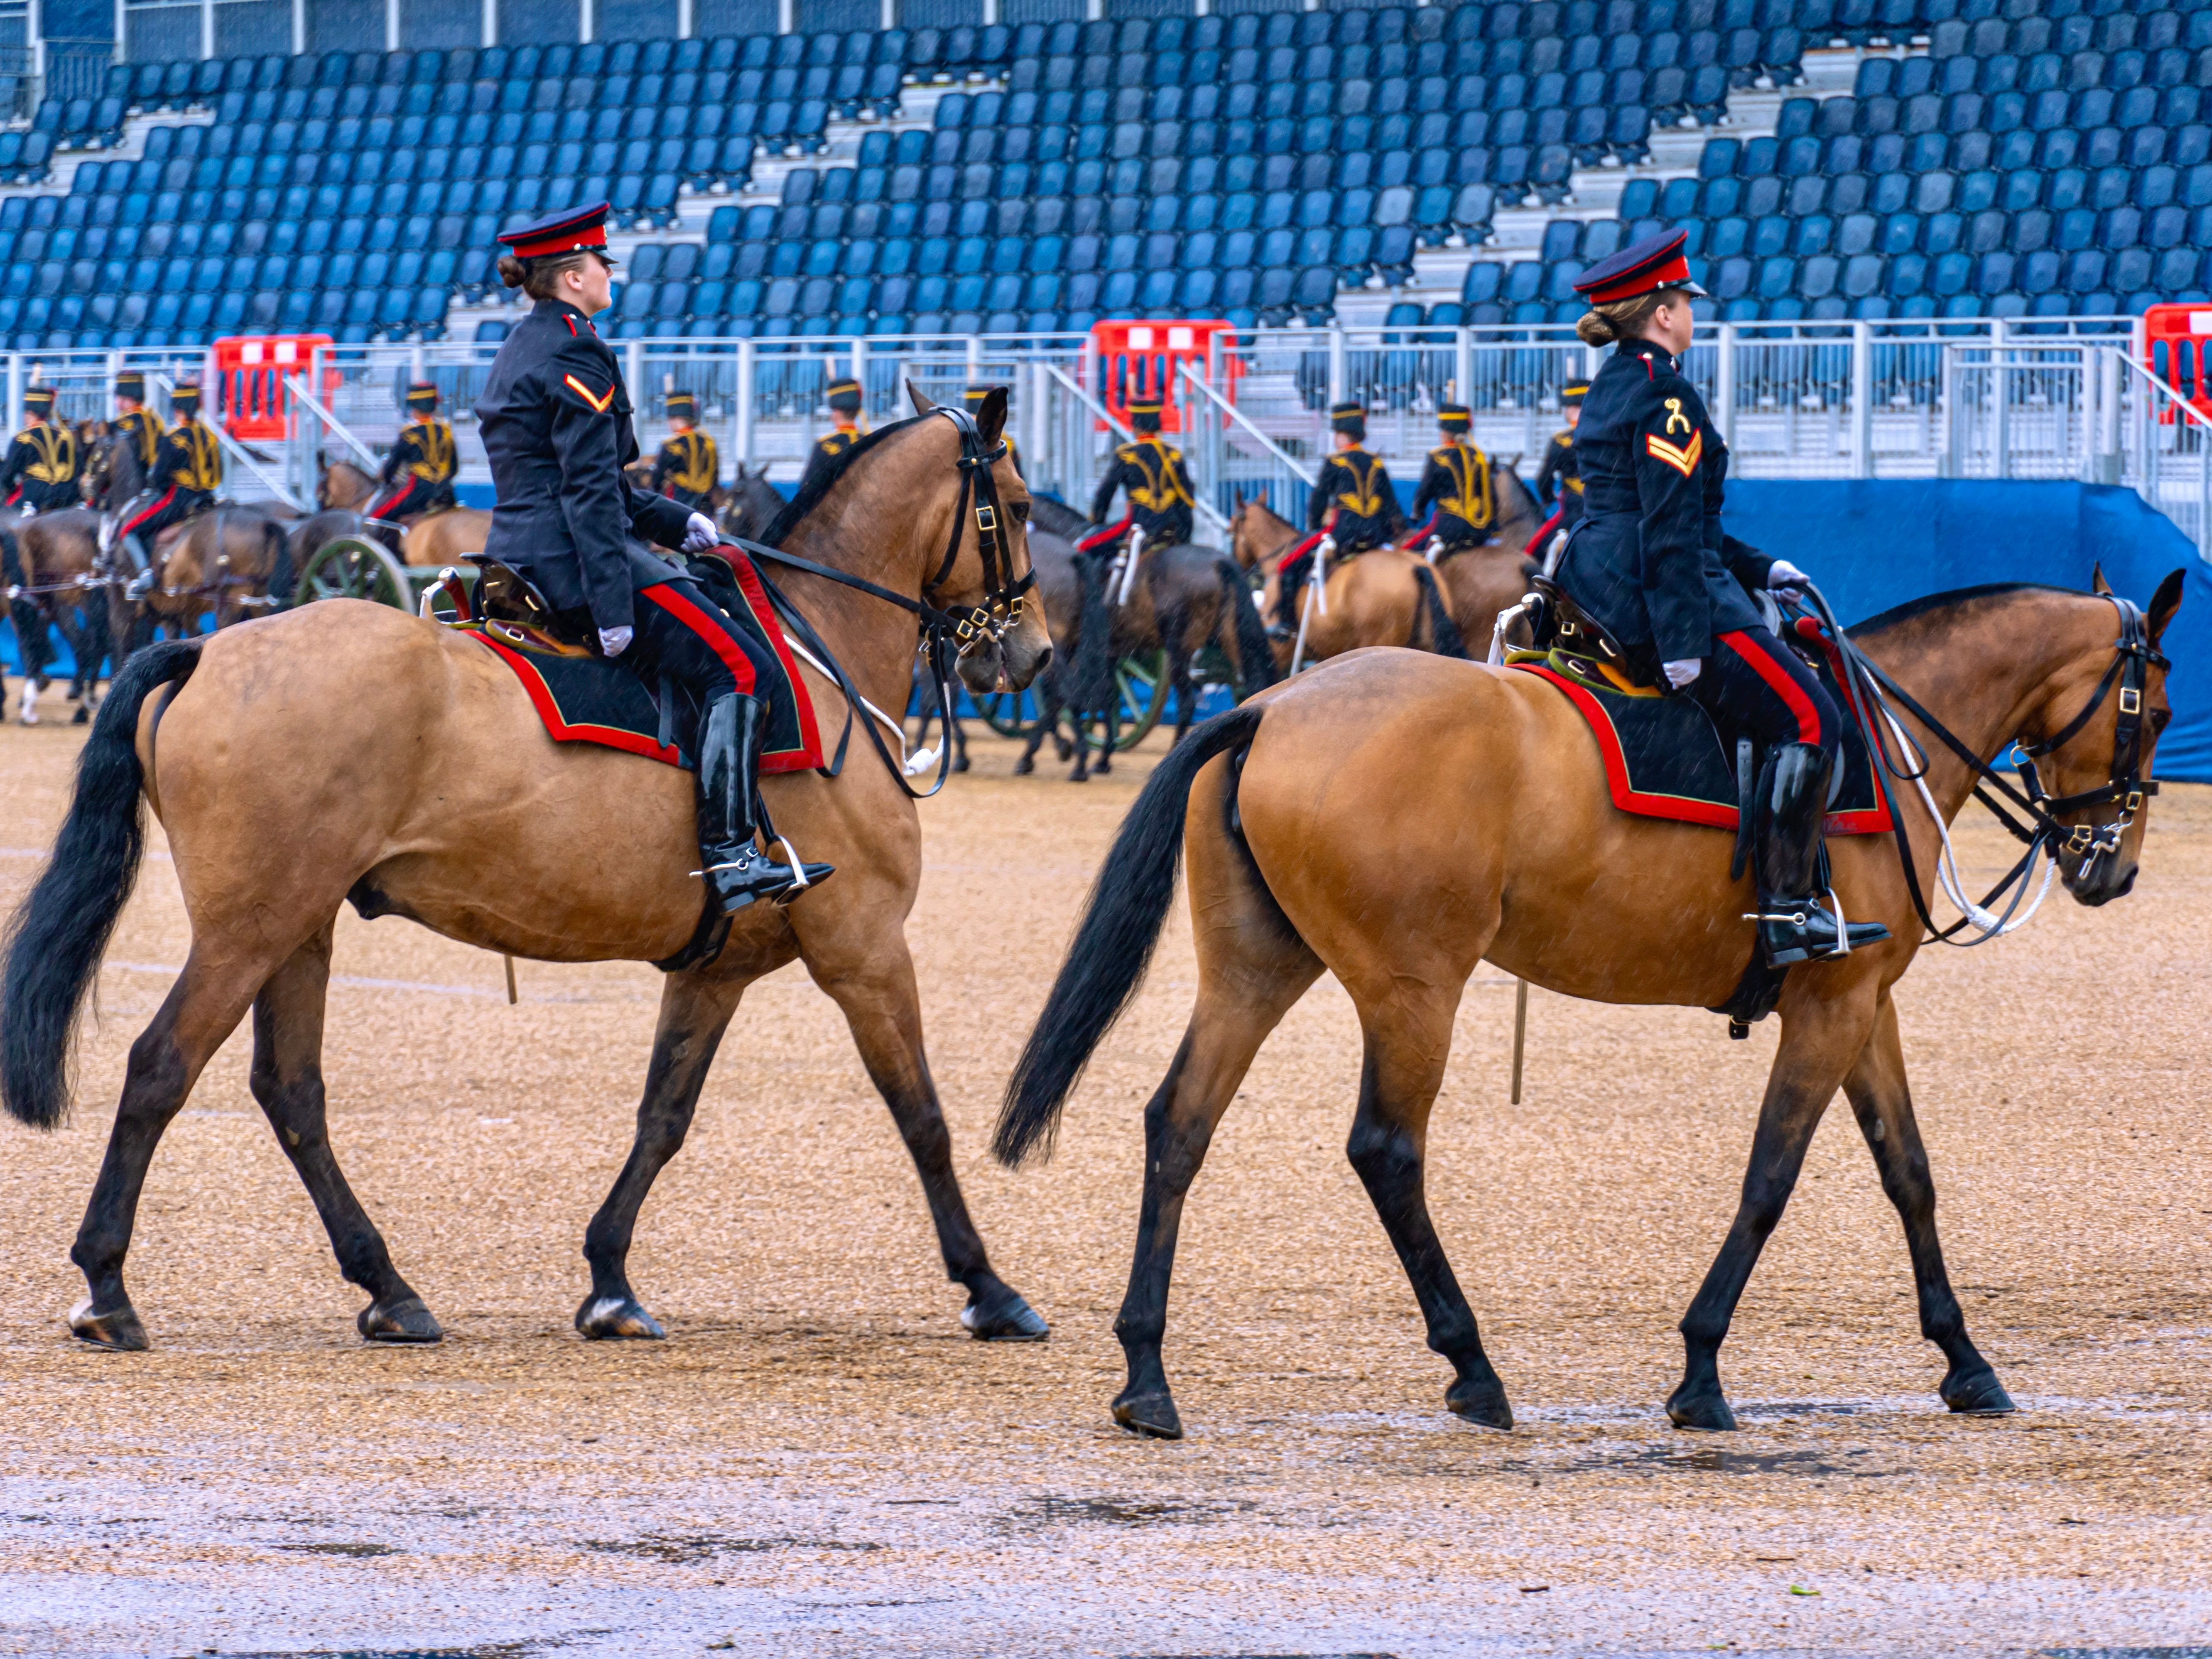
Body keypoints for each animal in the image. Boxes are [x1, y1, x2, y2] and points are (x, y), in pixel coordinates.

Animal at [1, 386, 1056, 1358]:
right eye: (1015, 502)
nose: (1036, 650)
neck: (820, 651)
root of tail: (211, 645)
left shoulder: (716, 968)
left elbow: (662, 1117)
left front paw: (611, 1283)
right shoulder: (864, 948)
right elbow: (922, 1115)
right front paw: (989, 1286)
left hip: (298, 926)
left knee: (291, 1092)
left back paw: (389, 1288)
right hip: (249, 930)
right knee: (160, 1068)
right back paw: (107, 1287)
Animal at [994, 574, 2184, 1440]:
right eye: (2156, 712)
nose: (2113, 867)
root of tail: (1269, 702)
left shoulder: (1857, 1003)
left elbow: (1909, 1174)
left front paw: (1965, 1360)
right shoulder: (1833, 1006)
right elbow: (1769, 1179)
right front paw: (1700, 1370)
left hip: (1257, 970)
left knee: (1179, 1124)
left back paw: (1146, 1375)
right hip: (1412, 988)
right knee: (1384, 1149)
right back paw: (1471, 1365)